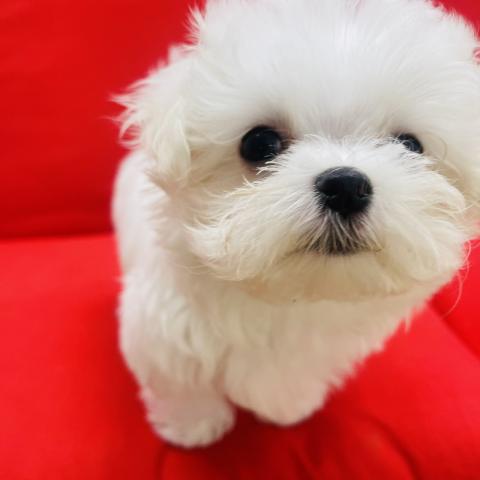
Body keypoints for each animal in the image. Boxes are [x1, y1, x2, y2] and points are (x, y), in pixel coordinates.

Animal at [113, 0, 480, 448]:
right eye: (259, 143)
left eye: (410, 146)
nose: (345, 186)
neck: (289, 298)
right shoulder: (165, 333)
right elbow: (182, 382)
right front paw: (194, 427)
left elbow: (291, 378)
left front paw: (287, 406)